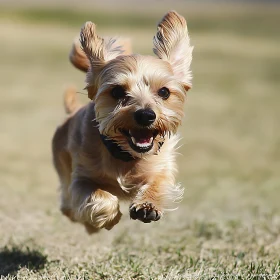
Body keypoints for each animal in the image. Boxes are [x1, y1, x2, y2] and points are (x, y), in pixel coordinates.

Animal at [52, 10, 192, 234]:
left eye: (164, 92)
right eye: (117, 91)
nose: (145, 115)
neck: (126, 156)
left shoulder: (162, 165)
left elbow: (159, 183)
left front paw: (147, 206)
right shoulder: (80, 179)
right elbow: (101, 198)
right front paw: (108, 219)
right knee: (68, 207)